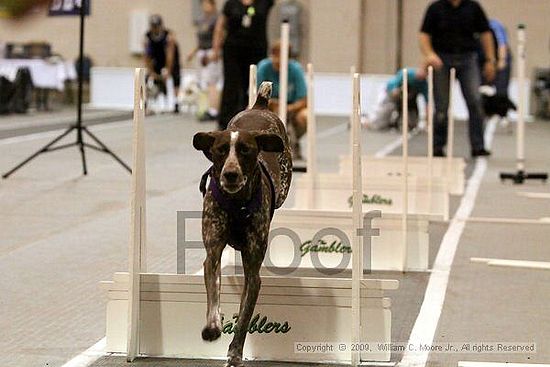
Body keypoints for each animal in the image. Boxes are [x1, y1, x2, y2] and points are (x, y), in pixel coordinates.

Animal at [193, 83, 294, 367]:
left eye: (246, 150)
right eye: (220, 150)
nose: (230, 174)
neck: (236, 203)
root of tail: (259, 105)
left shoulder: (253, 272)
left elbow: (245, 317)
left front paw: (235, 352)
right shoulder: (212, 254)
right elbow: (213, 295)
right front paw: (212, 326)